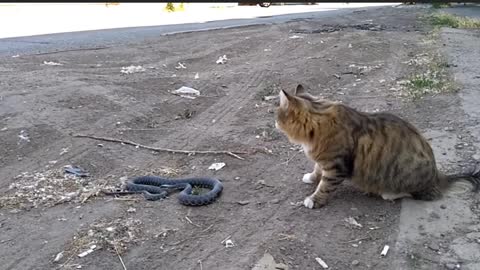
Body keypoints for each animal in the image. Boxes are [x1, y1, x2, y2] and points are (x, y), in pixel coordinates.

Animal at [276, 84, 480, 209]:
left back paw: (390, 194)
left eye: (277, 115)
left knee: (427, 194)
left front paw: (314, 199)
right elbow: (317, 170)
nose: (274, 123)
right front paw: (311, 177)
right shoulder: (325, 160)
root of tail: (437, 174)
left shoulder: (336, 166)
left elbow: (325, 185)